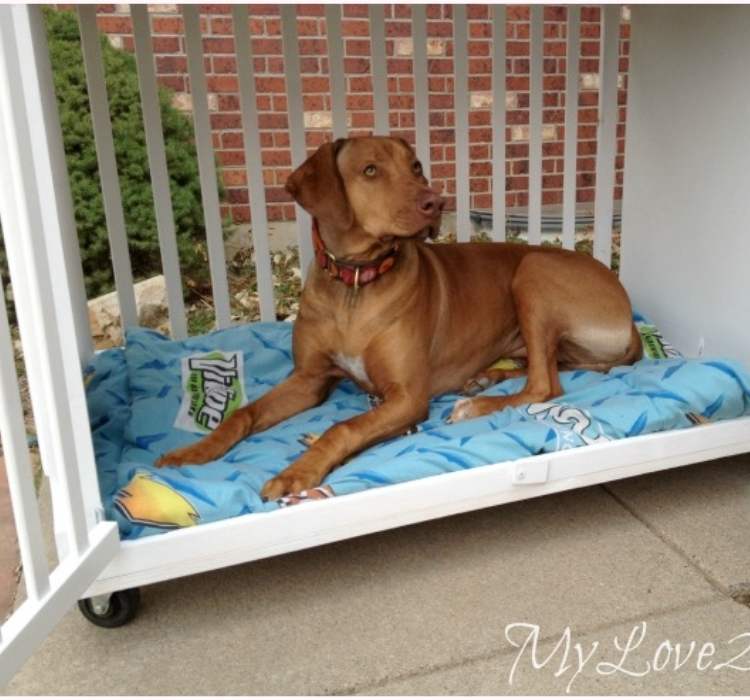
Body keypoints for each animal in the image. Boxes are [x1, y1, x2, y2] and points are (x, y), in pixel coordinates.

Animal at [157, 137, 640, 498]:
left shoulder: (407, 397)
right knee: (546, 369)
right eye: (370, 170)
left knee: (545, 384)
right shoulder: (308, 380)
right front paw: (193, 452)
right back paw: (484, 378)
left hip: (533, 271)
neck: (355, 285)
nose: (436, 202)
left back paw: (477, 404)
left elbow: (342, 428)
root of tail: (631, 318)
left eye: (416, 166)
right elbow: (244, 414)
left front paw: (298, 471)